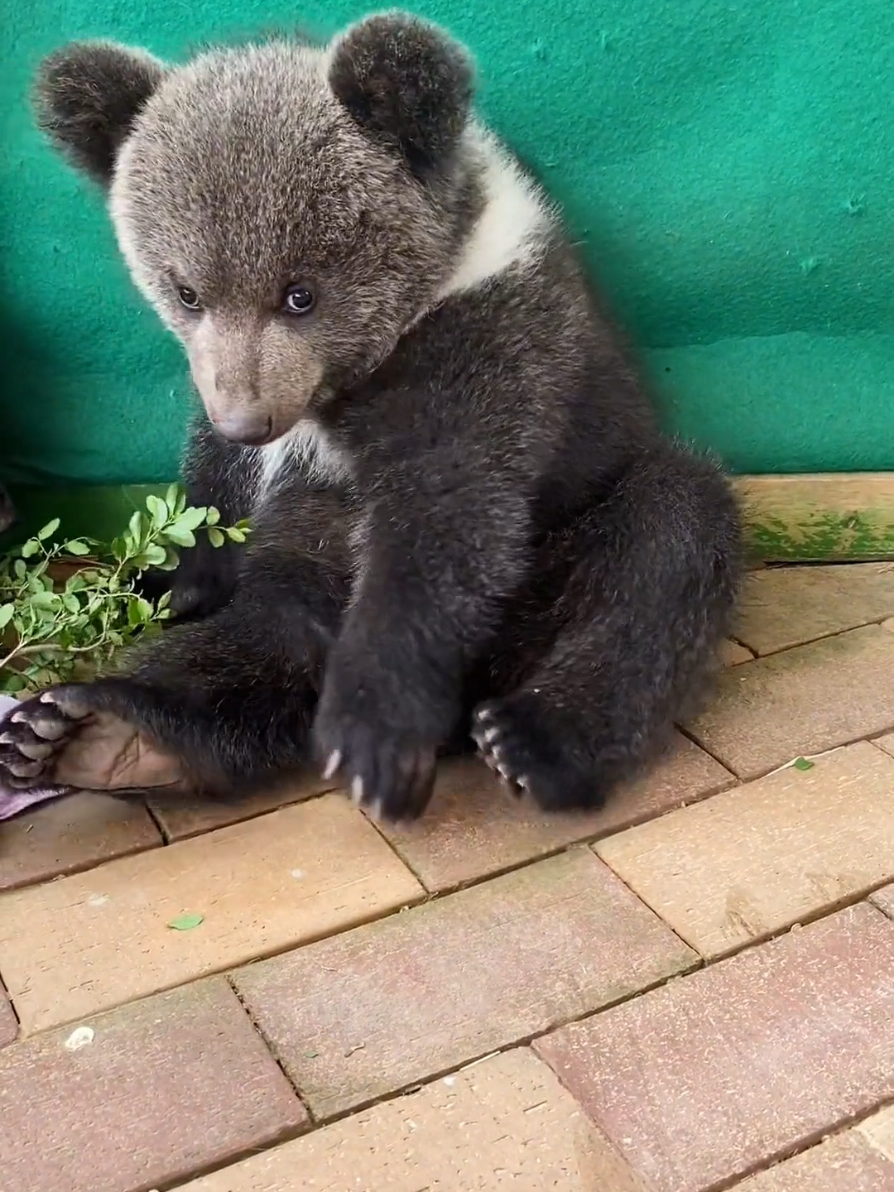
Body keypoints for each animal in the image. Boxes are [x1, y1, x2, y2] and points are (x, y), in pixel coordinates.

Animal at [0, 11, 742, 822]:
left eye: (299, 293)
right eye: (187, 292)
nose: (249, 420)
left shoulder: (486, 339)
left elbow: (445, 514)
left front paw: (375, 734)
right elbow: (214, 496)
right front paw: (168, 577)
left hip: (565, 548)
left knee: (664, 541)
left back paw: (534, 739)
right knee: (265, 637)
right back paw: (97, 732)